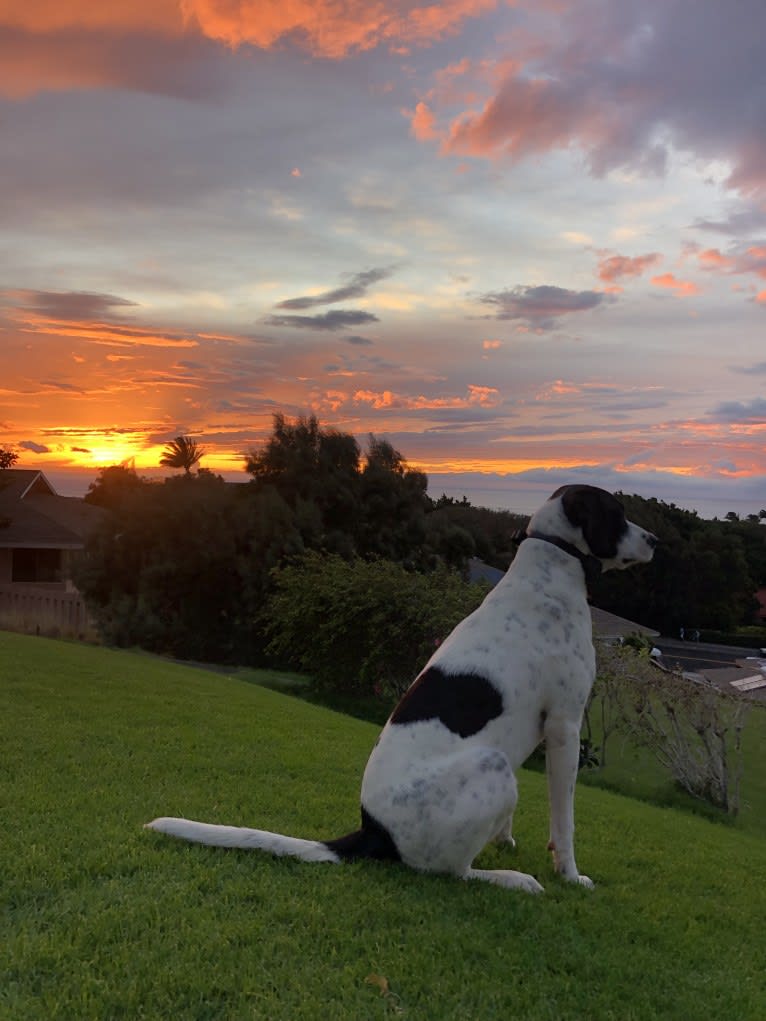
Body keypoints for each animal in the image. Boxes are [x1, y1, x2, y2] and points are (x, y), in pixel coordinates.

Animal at [147, 485, 657, 894]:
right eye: (617, 513)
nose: (655, 540)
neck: (549, 567)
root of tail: (374, 831)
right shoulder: (566, 727)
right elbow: (564, 821)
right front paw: (569, 874)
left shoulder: (541, 731)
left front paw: (506, 839)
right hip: (491, 767)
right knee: (450, 872)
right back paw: (511, 880)